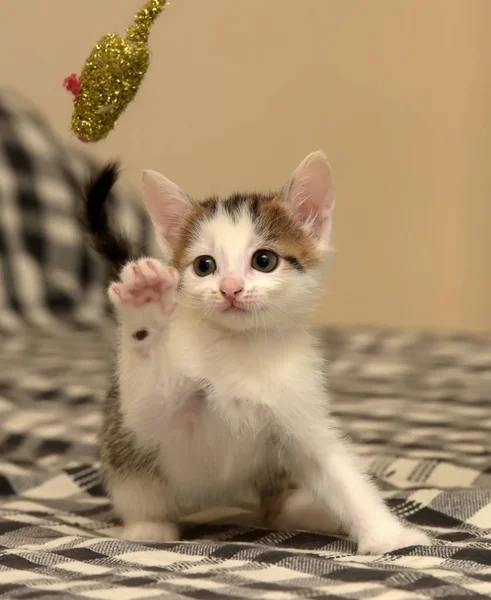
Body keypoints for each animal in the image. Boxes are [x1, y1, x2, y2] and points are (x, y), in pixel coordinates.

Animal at [83, 151, 430, 552]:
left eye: (264, 260)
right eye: (204, 265)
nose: (231, 288)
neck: (241, 350)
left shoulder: (299, 409)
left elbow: (338, 471)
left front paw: (389, 535)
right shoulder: (157, 424)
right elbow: (149, 408)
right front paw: (146, 303)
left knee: (273, 508)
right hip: (126, 463)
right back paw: (148, 527)